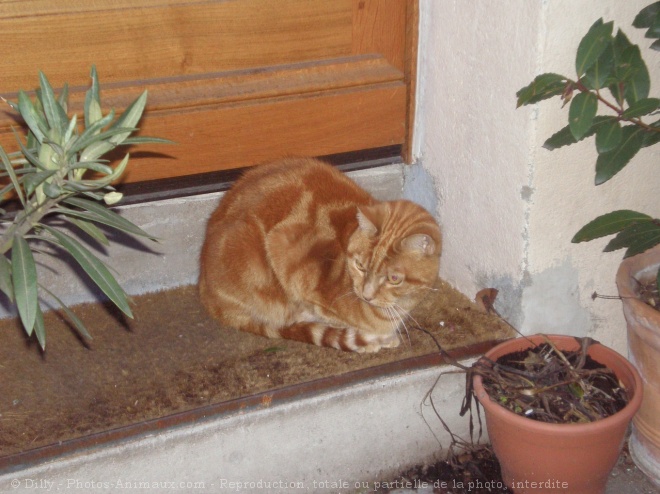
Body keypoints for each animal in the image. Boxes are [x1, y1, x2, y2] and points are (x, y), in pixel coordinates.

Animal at [199, 158, 440, 352]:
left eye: (394, 278)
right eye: (360, 266)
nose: (366, 295)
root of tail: (205, 291)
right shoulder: (283, 246)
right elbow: (320, 316)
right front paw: (372, 340)